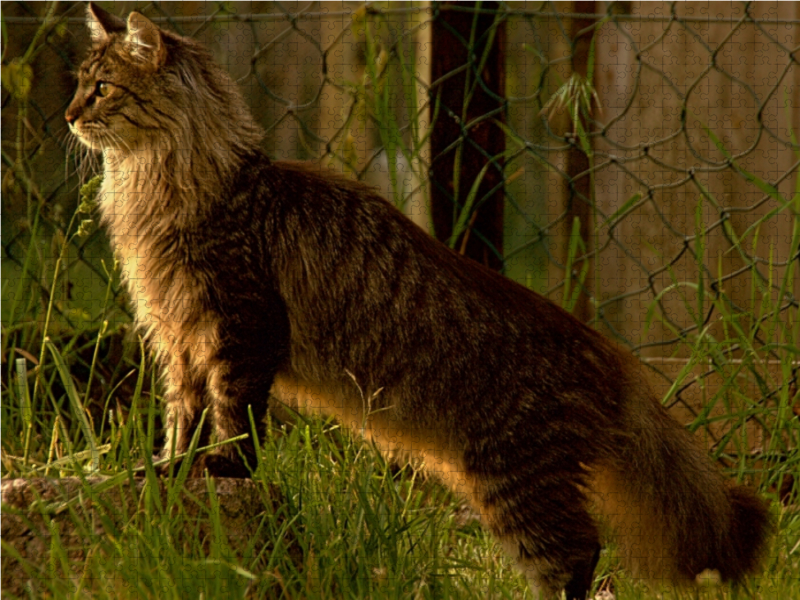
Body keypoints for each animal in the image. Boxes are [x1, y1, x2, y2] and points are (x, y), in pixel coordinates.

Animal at [67, 5, 768, 600]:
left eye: (101, 88)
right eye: (80, 85)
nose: (69, 116)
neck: (160, 183)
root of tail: (611, 359)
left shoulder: (240, 325)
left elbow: (234, 418)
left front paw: (221, 470)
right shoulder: (179, 335)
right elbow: (182, 417)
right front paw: (167, 469)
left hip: (515, 479)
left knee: (578, 556)